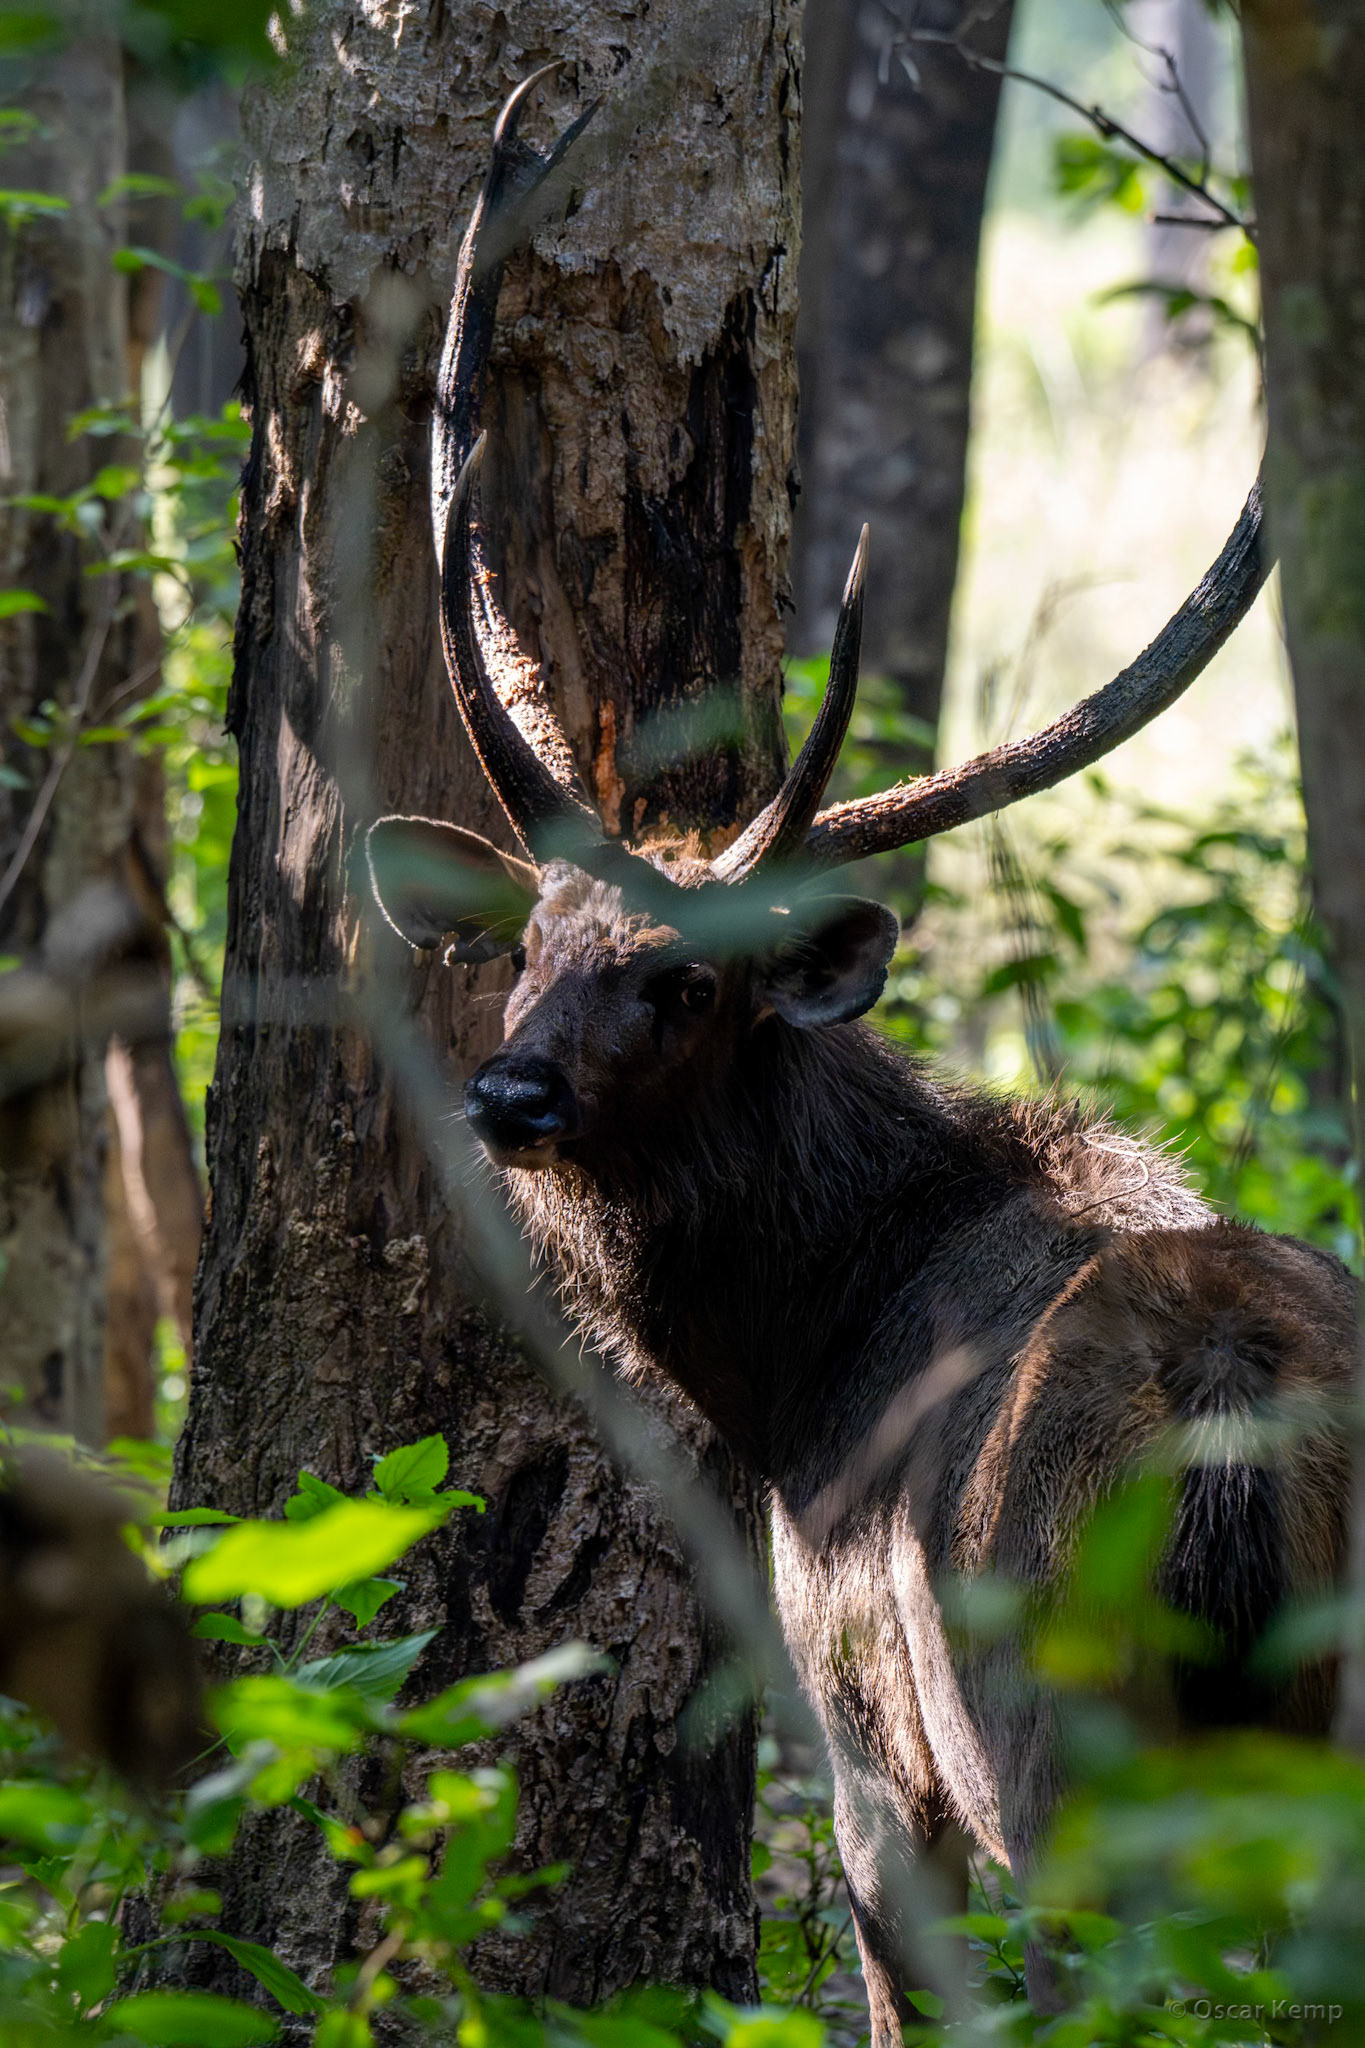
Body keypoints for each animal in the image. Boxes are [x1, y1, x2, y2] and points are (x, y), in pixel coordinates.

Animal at [366, 71, 1356, 2034]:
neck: (793, 1370)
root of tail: (1230, 1407)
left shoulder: (860, 1745)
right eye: (529, 951)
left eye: (688, 984)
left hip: (1048, 1738)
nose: (510, 1093)